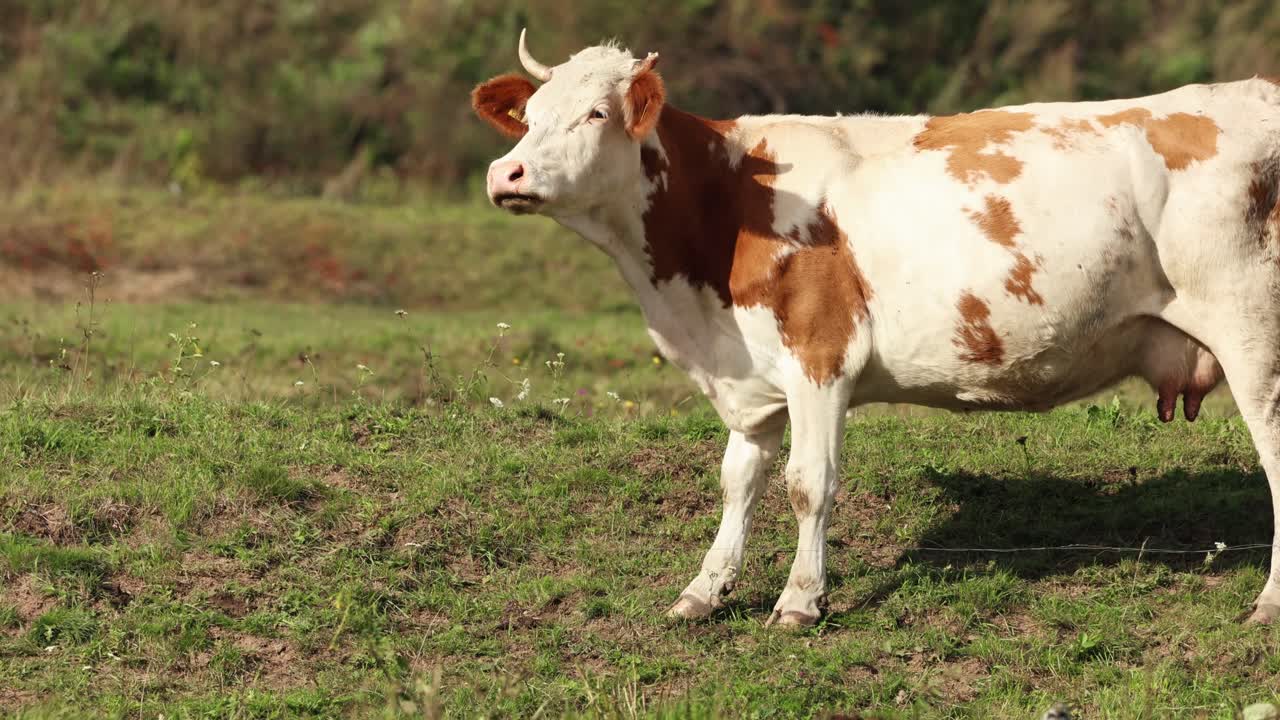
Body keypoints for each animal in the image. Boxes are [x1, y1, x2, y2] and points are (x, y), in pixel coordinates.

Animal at [472, 29, 1280, 627]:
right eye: (530, 118)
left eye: (596, 115)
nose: (505, 174)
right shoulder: (751, 373)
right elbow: (738, 480)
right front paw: (704, 589)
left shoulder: (821, 356)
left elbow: (808, 482)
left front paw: (800, 601)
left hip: (1249, 333)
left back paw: (1268, 604)